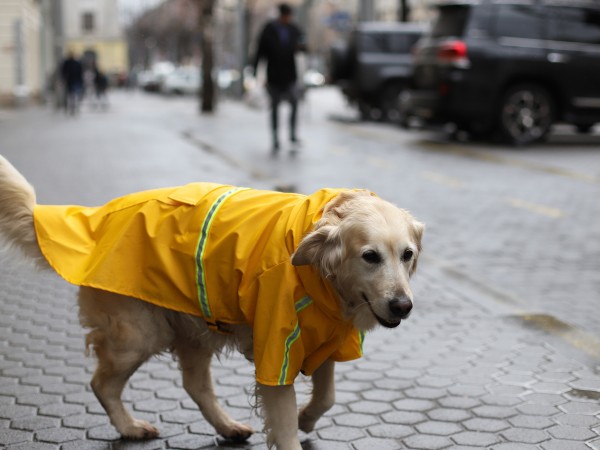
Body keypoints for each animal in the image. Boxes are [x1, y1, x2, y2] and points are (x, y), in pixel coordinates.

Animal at [0, 156, 422, 450]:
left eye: (408, 255)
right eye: (370, 256)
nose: (403, 306)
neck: (321, 277)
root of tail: (96, 218)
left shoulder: (325, 339)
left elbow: (327, 397)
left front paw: (307, 418)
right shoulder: (276, 353)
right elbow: (285, 424)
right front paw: (296, 424)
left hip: (194, 326)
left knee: (194, 385)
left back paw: (227, 427)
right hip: (138, 333)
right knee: (102, 383)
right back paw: (130, 427)